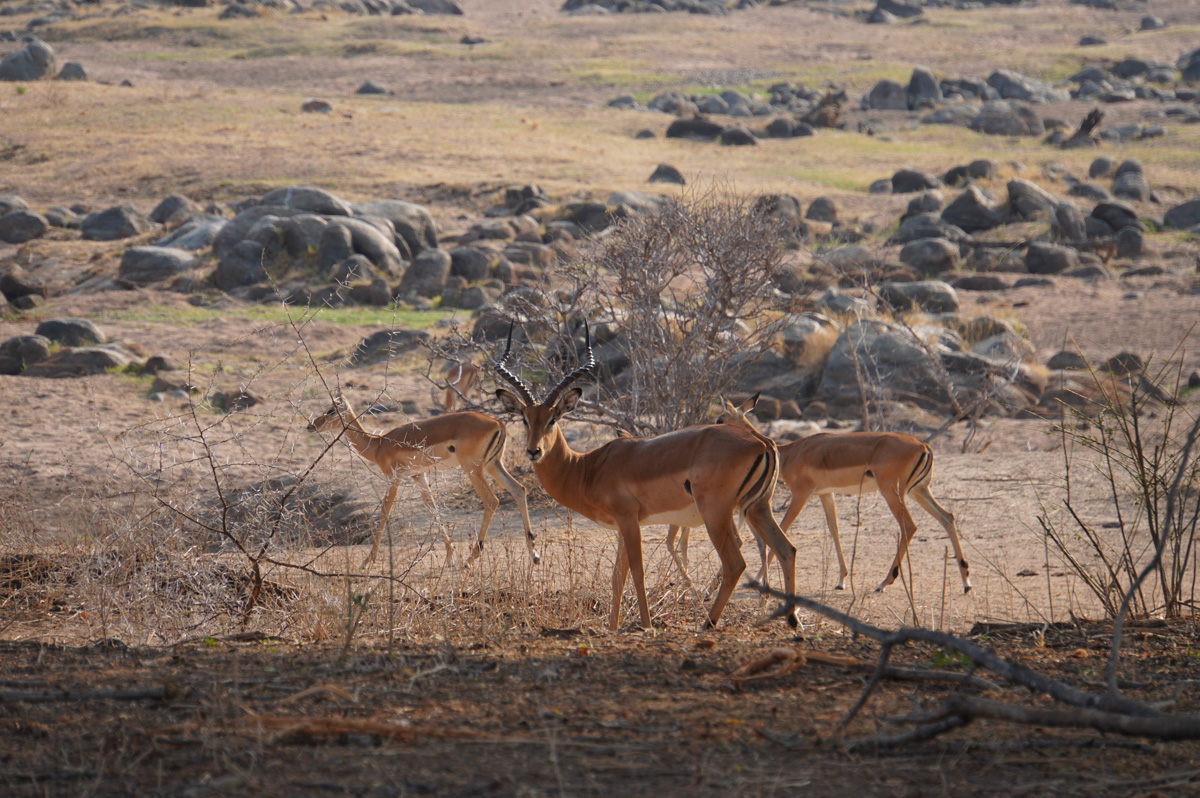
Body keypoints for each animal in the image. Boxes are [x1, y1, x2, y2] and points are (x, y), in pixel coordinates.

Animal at [307, 390, 538, 568]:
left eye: (331, 409)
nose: (311, 426)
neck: (377, 445)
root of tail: (498, 423)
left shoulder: (395, 478)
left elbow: (384, 512)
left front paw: (366, 561)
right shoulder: (419, 477)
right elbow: (433, 510)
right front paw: (450, 557)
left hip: (473, 469)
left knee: (492, 501)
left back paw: (471, 559)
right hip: (493, 465)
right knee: (519, 490)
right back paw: (534, 554)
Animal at [493, 323, 799, 632]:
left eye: (553, 419)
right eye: (525, 419)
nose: (534, 451)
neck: (587, 468)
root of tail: (762, 442)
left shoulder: (629, 520)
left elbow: (636, 574)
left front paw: (646, 625)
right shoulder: (621, 527)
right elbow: (617, 578)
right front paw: (613, 628)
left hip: (716, 513)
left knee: (735, 563)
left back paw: (708, 624)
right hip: (757, 508)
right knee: (786, 549)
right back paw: (793, 620)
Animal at [676, 395, 970, 595]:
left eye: (720, 419)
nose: (709, 430)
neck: (790, 452)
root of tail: (924, 446)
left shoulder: (801, 494)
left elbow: (784, 528)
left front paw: (757, 578)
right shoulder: (826, 495)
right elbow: (834, 529)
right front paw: (841, 580)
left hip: (892, 491)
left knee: (909, 525)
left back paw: (884, 582)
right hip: (919, 490)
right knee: (948, 517)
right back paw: (966, 581)